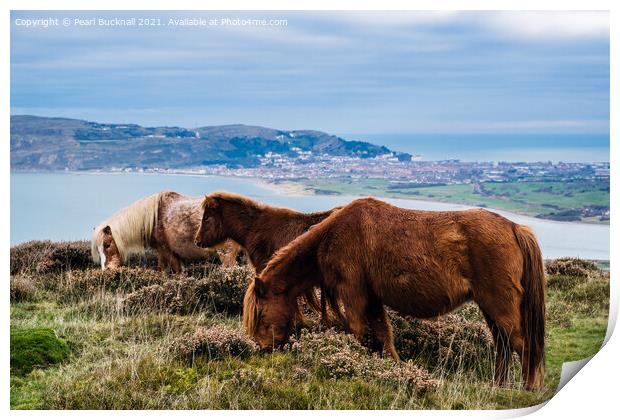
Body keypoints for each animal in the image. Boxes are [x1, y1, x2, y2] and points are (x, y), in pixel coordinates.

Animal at [245, 197, 544, 390]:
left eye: (261, 314)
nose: (260, 348)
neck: (331, 236)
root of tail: (515, 228)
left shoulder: (352, 294)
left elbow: (357, 331)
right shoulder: (372, 298)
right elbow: (383, 334)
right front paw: (393, 368)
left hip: (500, 304)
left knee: (522, 344)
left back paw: (529, 387)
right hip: (489, 306)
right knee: (503, 344)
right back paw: (499, 385)